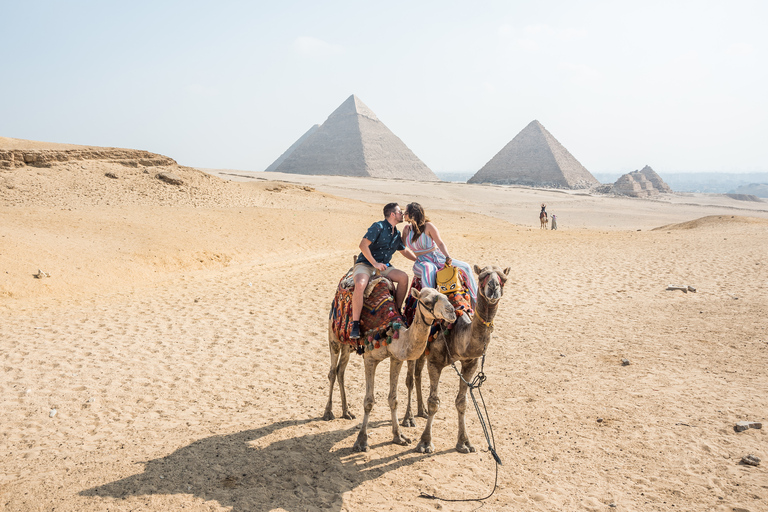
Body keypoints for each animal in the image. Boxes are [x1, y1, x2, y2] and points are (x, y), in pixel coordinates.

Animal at [322, 288, 456, 452]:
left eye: (446, 297)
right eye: (427, 301)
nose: (452, 312)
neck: (392, 333)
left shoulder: (396, 358)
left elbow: (393, 399)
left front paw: (399, 437)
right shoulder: (370, 359)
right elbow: (368, 401)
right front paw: (361, 441)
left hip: (348, 345)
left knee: (340, 371)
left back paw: (347, 412)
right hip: (334, 337)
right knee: (332, 372)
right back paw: (328, 412)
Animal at [402, 266, 510, 454]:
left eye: (503, 279)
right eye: (482, 276)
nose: (493, 287)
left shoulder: (470, 363)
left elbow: (462, 402)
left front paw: (464, 442)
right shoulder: (435, 361)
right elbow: (434, 402)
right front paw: (425, 443)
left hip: (423, 351)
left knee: (417, 374)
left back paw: (421, 411)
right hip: (414, 344)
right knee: (410, 379)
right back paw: (408, 419)